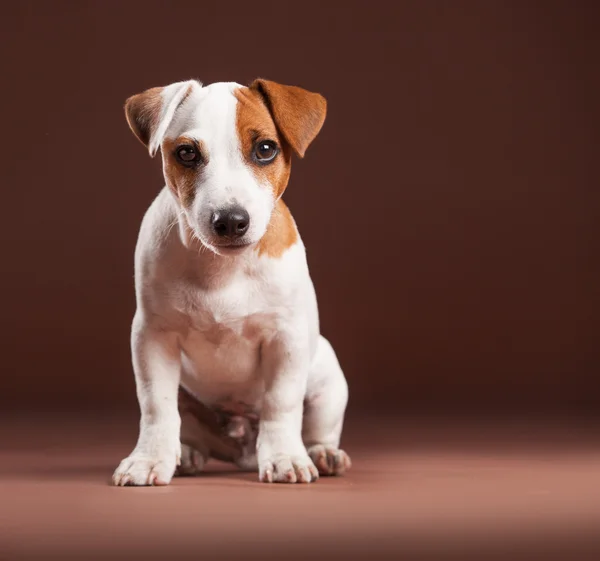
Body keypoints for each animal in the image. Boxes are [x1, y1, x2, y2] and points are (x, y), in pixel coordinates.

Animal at [111, 76, 352, 484]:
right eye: (187, 153)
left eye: (266, 149)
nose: (230, 220)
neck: (223, 268)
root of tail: (242, 449)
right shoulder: (153, 337)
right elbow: (157, 405)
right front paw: (149, 459)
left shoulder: (286, 338)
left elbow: (281, 403)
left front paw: (285, 456)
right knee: (187, 424)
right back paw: (187, 454)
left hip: (327, 377)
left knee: (318, 426)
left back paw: (322, 453)